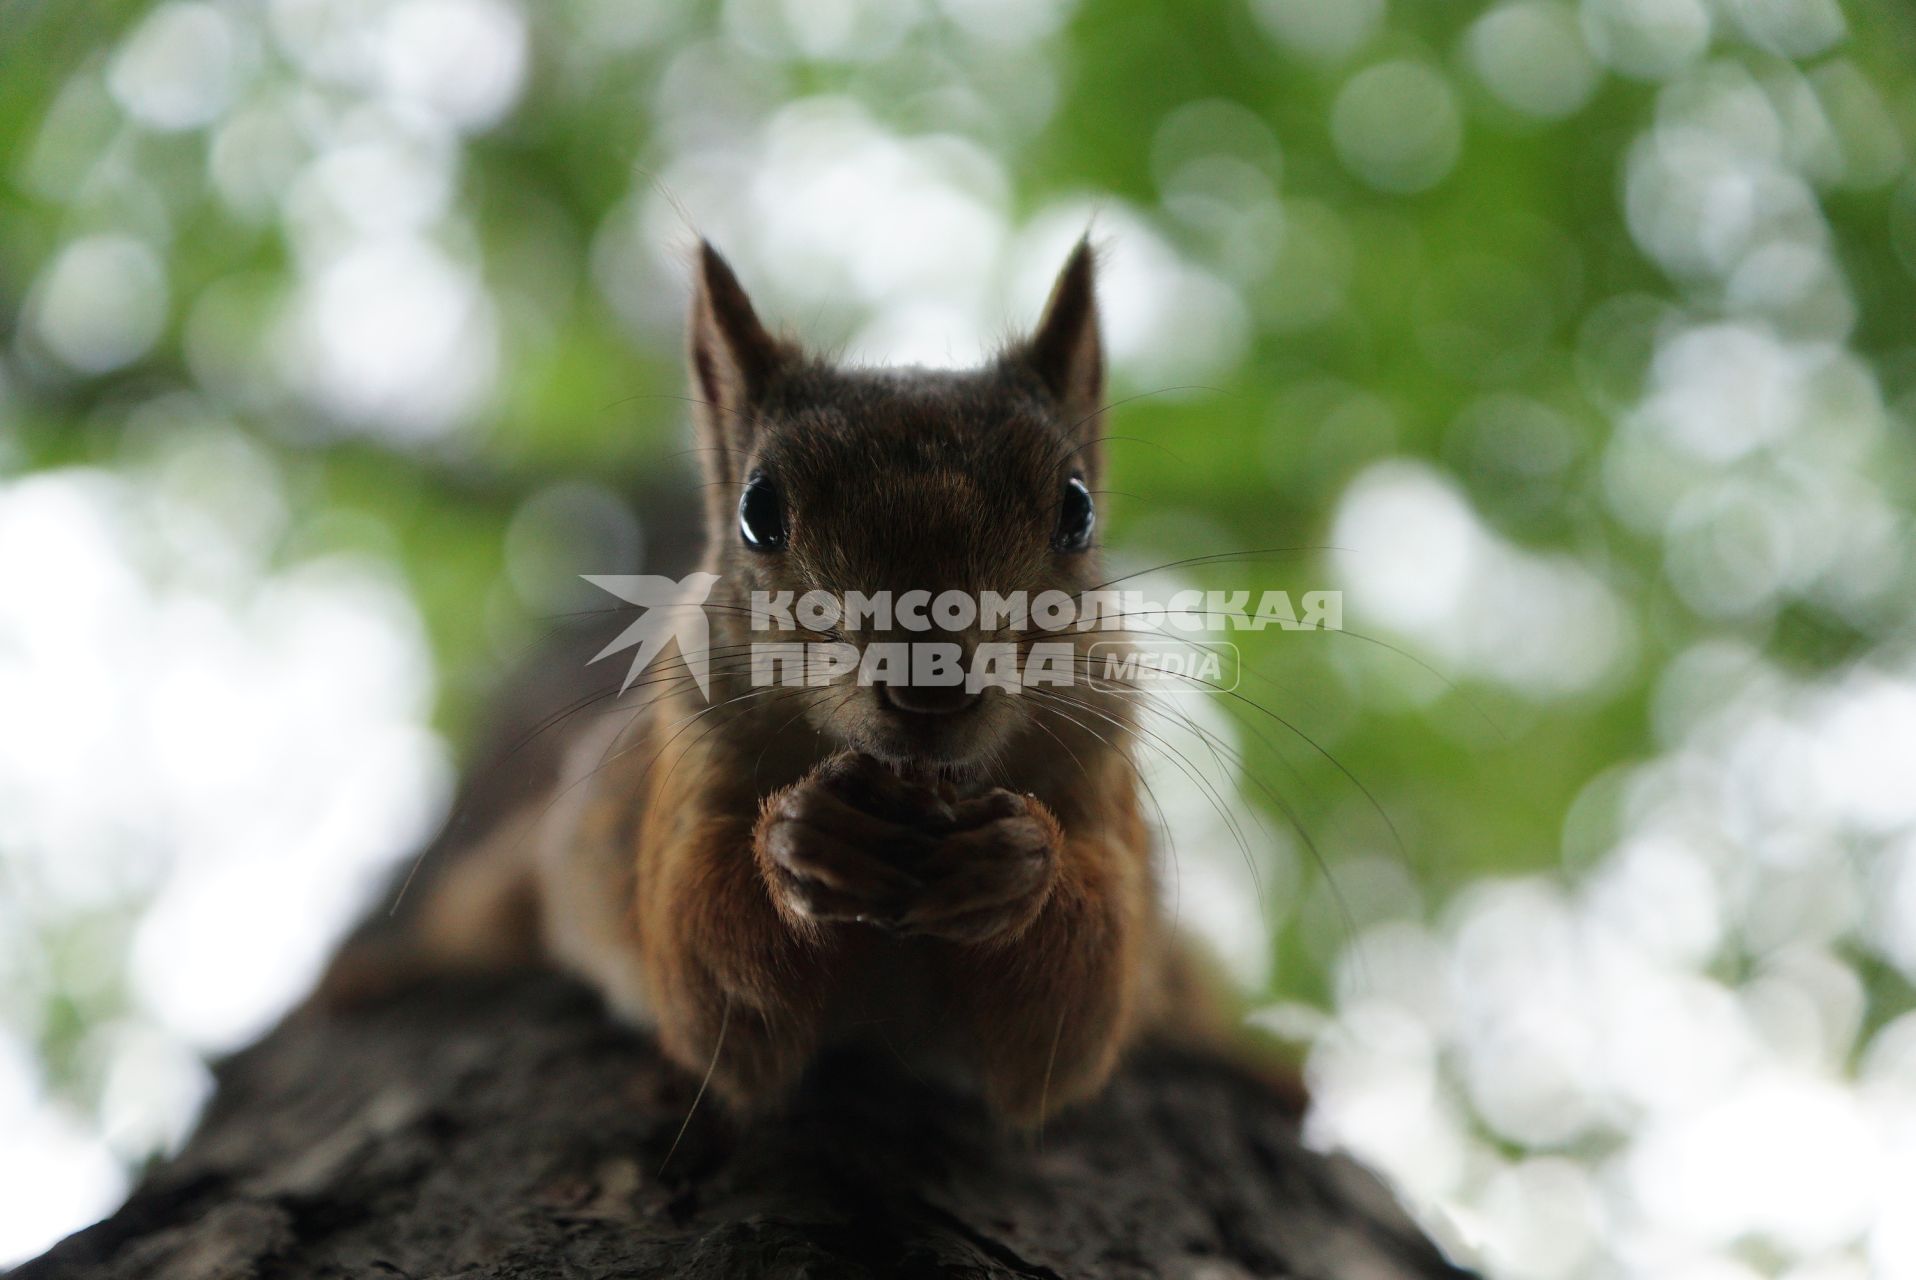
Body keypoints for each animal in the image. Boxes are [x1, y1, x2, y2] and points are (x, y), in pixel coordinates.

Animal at [321, 234, 1249, 1126]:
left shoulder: (1099, 786)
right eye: (757, 511)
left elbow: (1071, 1017)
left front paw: (1015, 861)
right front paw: (805, 839)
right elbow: (705, 973)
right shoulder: (691, 768)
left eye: (1078, 510)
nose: (930, 686)